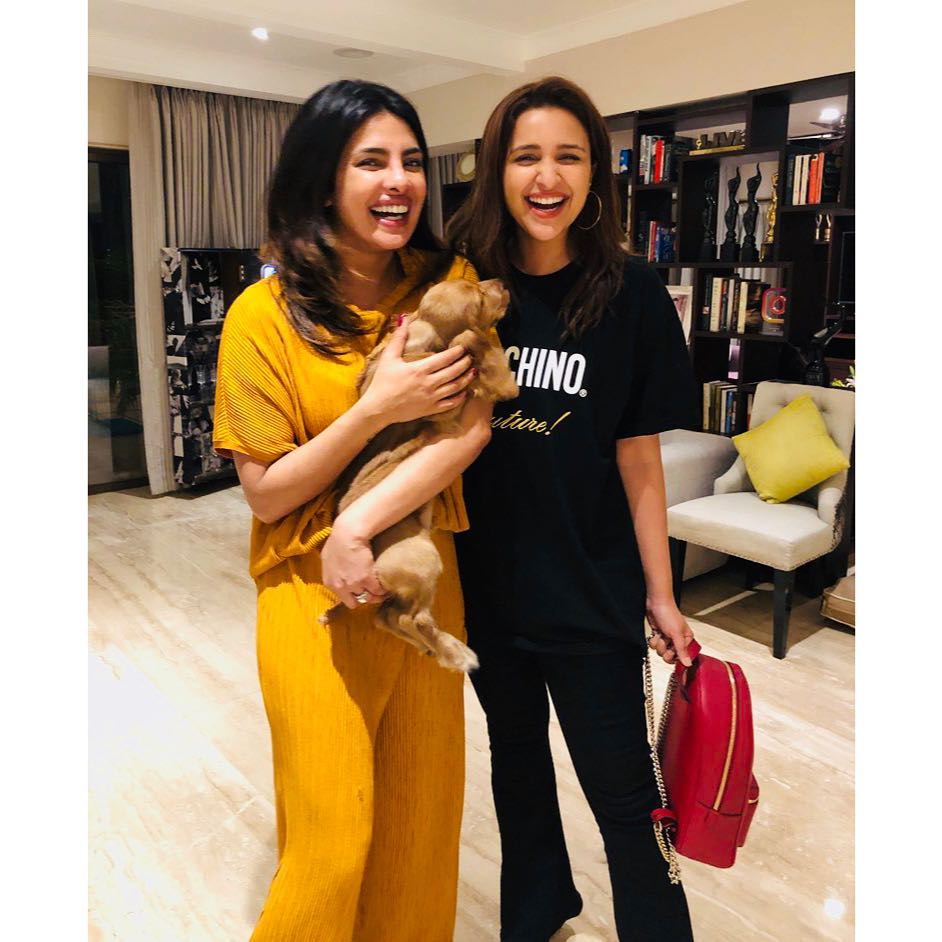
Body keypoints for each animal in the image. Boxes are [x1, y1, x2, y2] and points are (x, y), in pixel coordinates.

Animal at [319, 278, 518, 672]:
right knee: (408, 617)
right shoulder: (498, 383)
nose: (501, 282)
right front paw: (473, 342)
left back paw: (440, 649)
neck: (425, 334)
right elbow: (485, 351)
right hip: (423, 559)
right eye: (479, 296)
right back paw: (455, 653)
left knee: (388, 617)